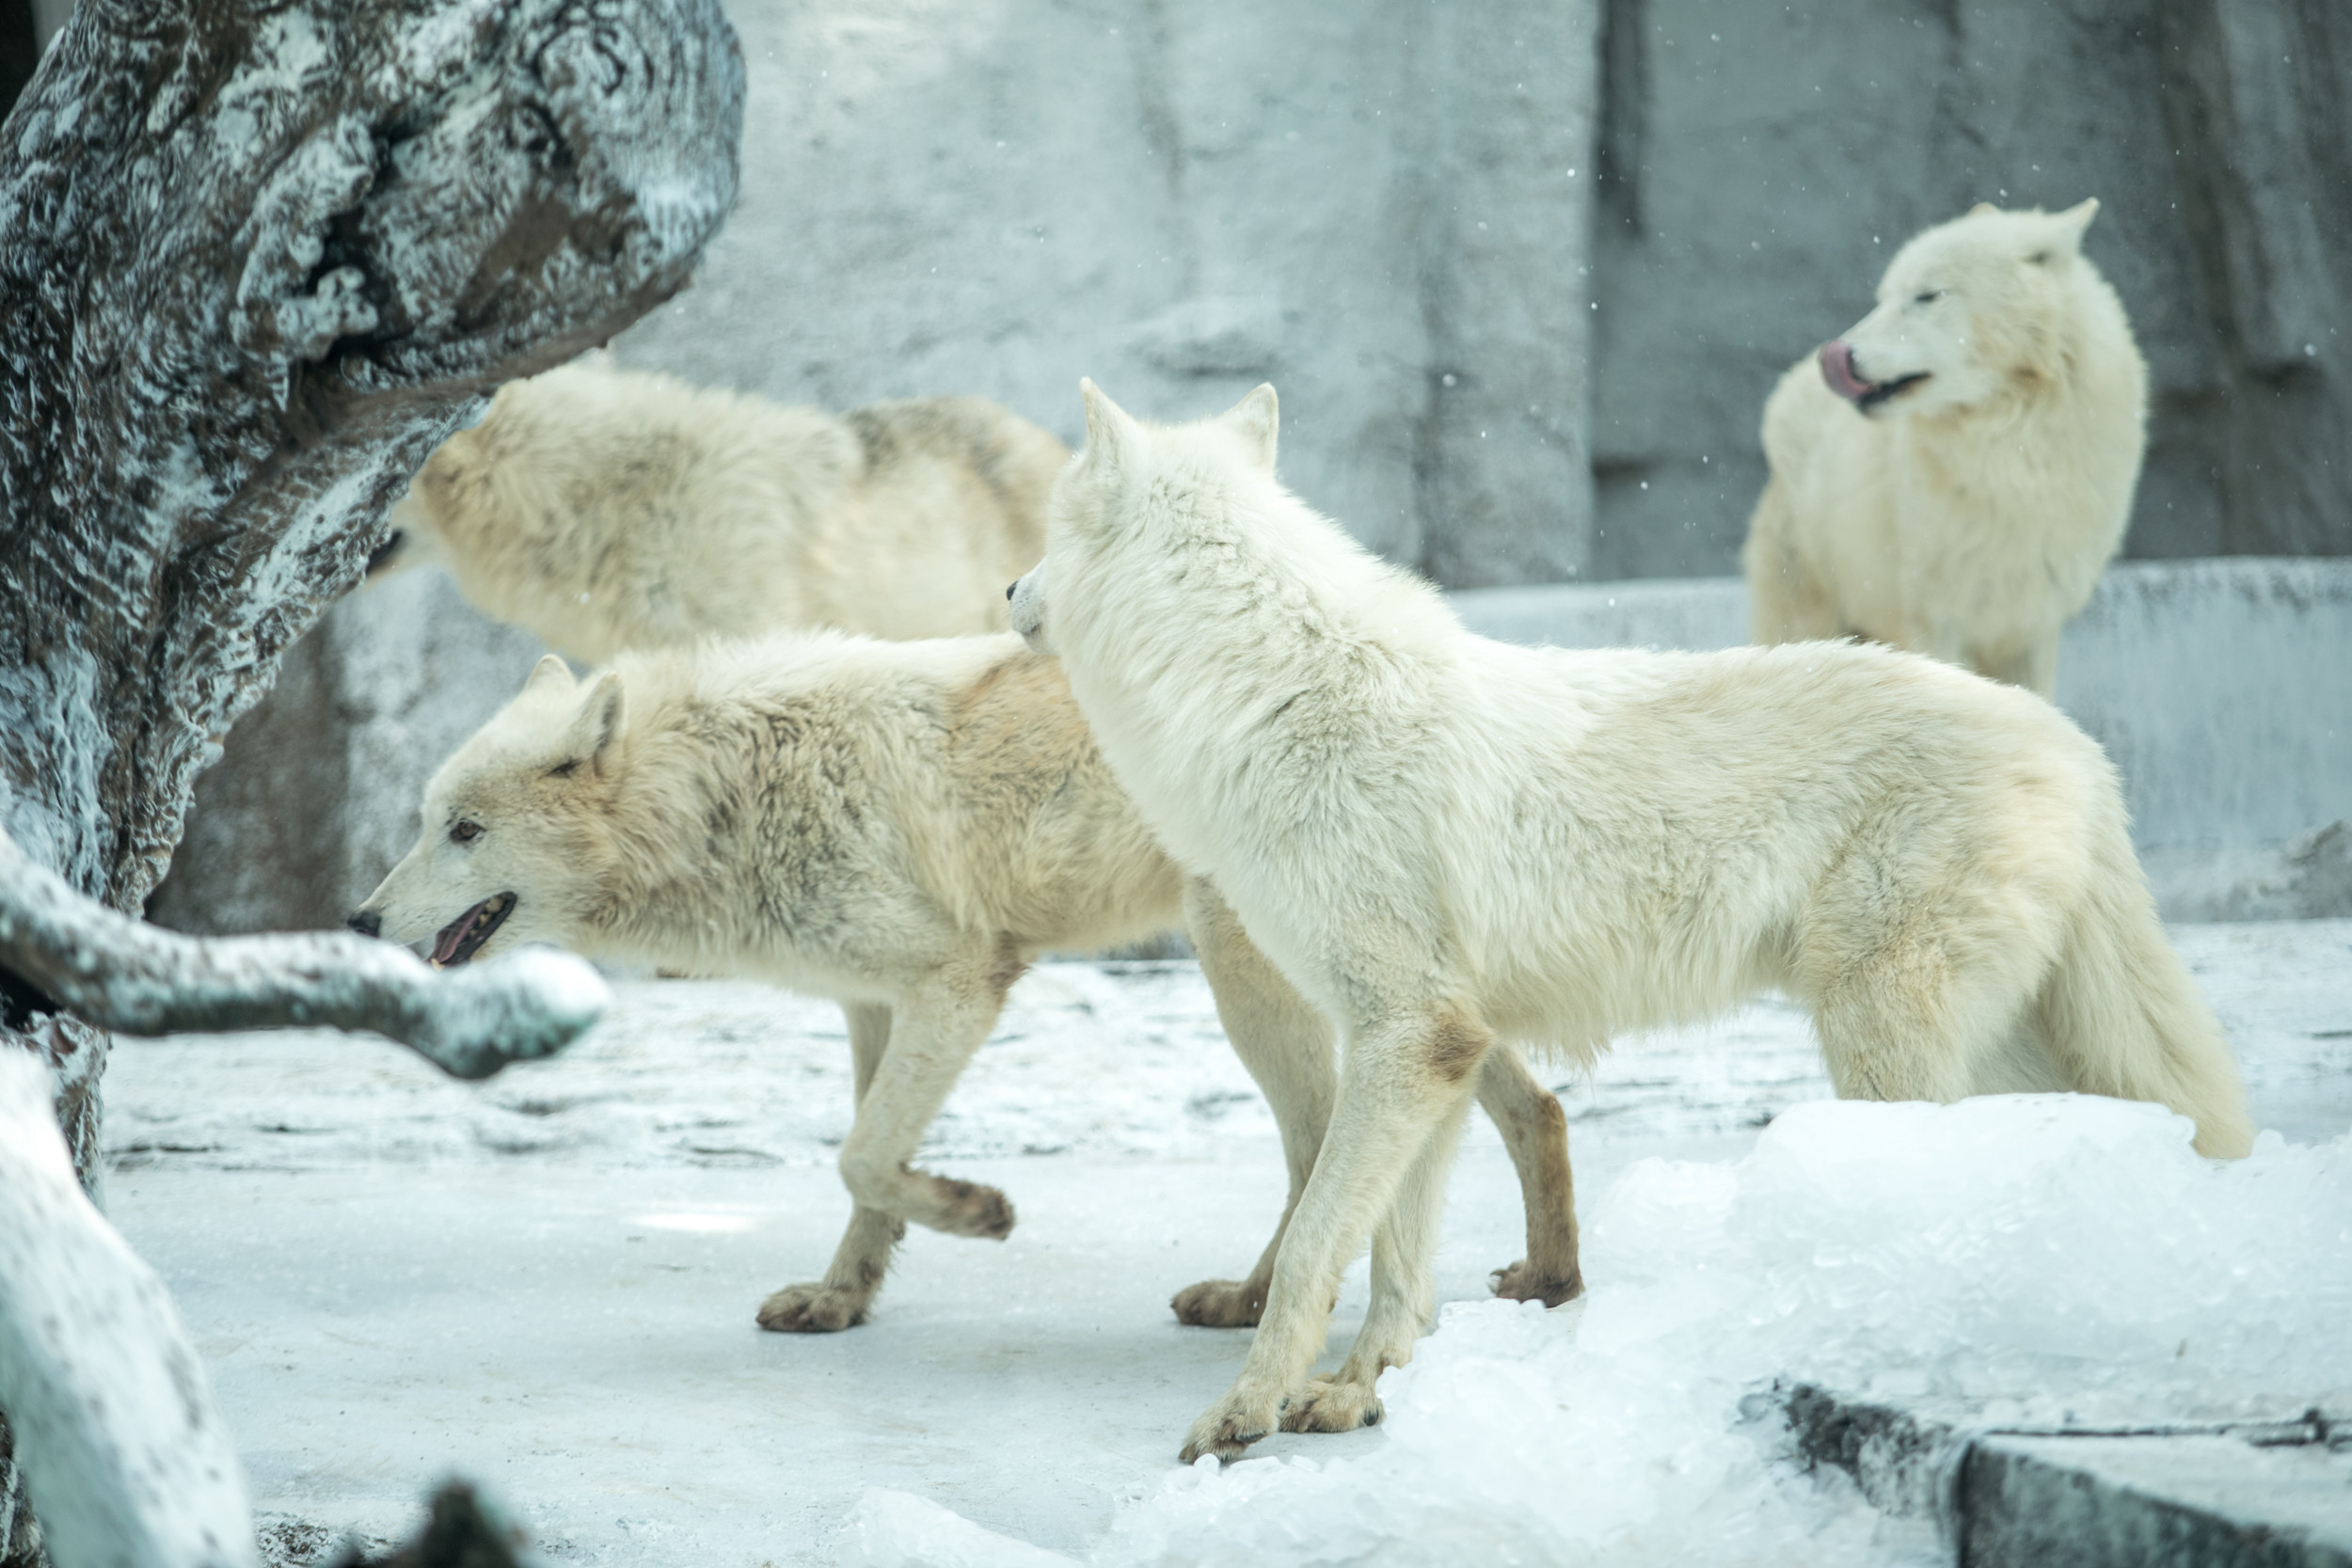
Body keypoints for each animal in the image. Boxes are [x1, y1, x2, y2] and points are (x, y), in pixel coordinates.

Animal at [343, 639, 1581, 1335]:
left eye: (463, 831)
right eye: (424, 823)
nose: (357, 919)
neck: (721, 795)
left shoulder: (959, 981)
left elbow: (863, 1156)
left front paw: (980, 1211)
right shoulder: (870, 1001)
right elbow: (863, 1169)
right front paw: (841, 1298)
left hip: (1255, 979)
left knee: (1318, 1141)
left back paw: (1251, 1301)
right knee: (1527, 1098)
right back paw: (1551, 1276)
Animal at [1016, 375, 2258, 1457]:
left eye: (1048, 531)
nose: (1009, 595)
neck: (1271, 693)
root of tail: (2077, 747)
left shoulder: (1404, 1033)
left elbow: (1323, 1238)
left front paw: (1244, 1412)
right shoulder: (1433, 1043)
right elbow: (1395, 1256)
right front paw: (1359, 1391)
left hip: (1882, 1042)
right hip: (1995, 1044)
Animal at [1750, 201, 2154, 700]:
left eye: (1927, 296)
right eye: (1884, 297)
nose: (1840, 353)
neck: (2012, 455)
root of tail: (1789, 386)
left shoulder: (2035, 622)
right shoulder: (1934, 617)